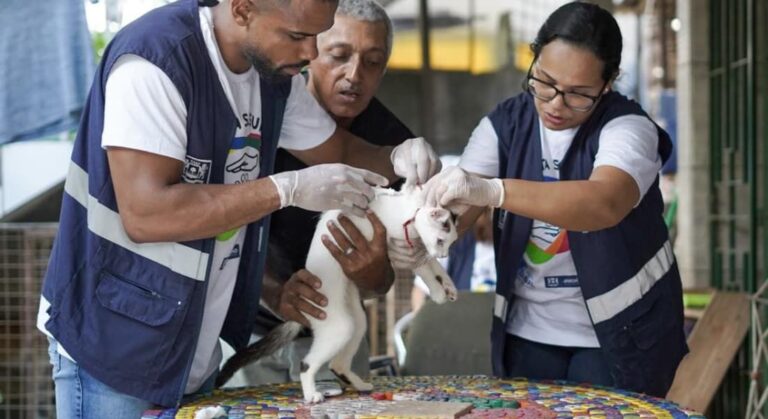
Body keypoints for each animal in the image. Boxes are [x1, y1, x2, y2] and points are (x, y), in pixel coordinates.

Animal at [213, 185, 460, 402]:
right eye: (440, 240)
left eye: (450, 243)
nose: (444, 254)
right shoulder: (399, 249)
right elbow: (426, 270)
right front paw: (438, 292)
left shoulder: (414, 250)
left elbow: (433, 268)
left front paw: (449, 287)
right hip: (340, 328)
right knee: (306, 364)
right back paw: (312, 395)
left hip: (357, 321)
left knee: (337, 364)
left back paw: (359, 385)